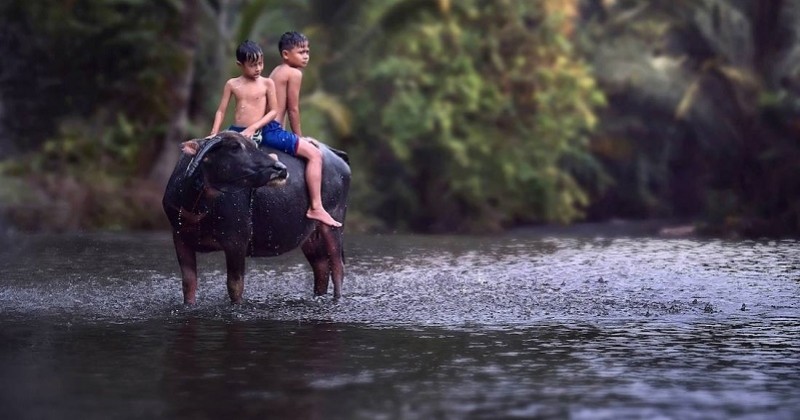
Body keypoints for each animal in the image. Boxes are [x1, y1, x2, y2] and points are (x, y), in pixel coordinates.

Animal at [162, 130, 350, 304]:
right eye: (234, 147)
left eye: (253, 145)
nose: (280, 168)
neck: (197, 207)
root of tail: (337, 156)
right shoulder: (180, 240)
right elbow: (188, 284)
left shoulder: (236, 242)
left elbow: (235, 286)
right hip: (310, 236)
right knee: (321, 267)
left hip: (334, 224)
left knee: (337, 266)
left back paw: (337, 299)